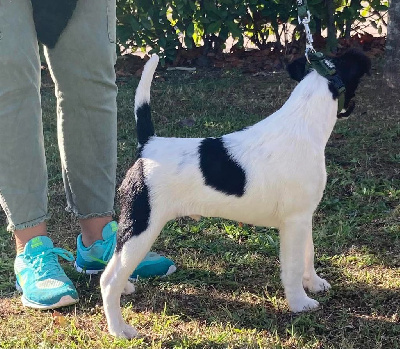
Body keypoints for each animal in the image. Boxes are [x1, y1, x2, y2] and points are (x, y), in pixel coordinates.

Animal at [101, 50, 372, 336]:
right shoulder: (294, 222)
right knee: (108, 279)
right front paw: (300, 302)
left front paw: (314, 283)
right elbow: (294, 266)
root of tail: (148, 146)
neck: (302, 121)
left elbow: (308, 252)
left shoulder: (303, 217)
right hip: (142, 227)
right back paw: (119, 329)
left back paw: (126, 290)